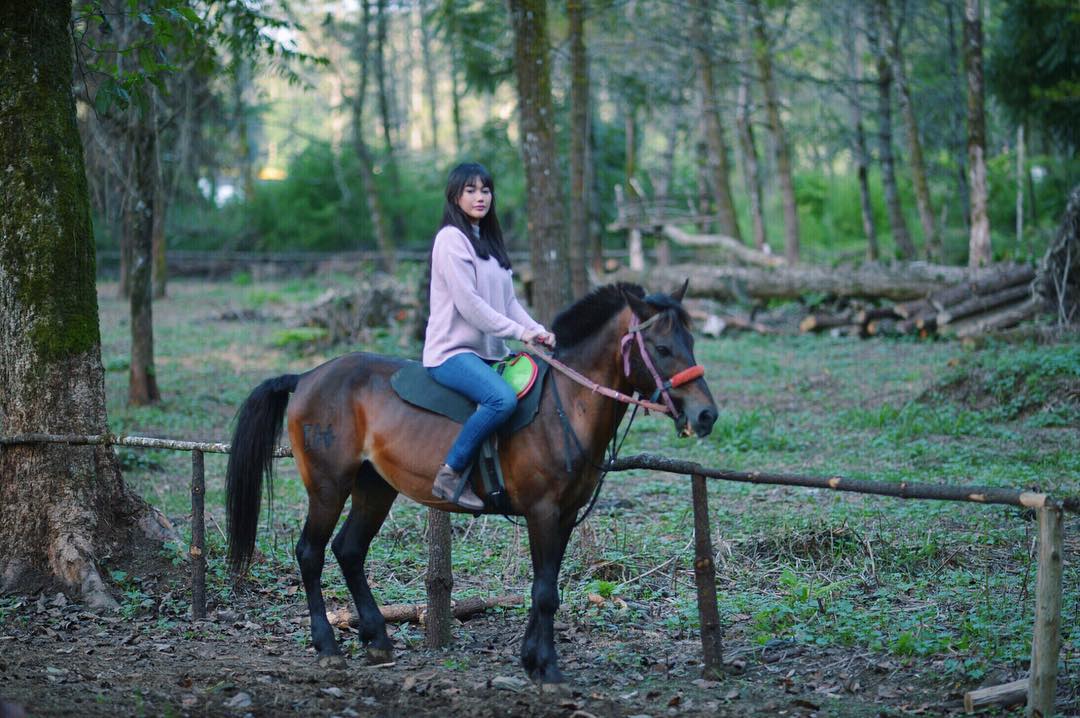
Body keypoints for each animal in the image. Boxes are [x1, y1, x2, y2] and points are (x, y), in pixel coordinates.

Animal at [225, 280, 717, 682]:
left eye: (691, 341)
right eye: (661, 347)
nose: (706, 415)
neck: (566, 406)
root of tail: (307, 376)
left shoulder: (564, 515)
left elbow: (546, 586)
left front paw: (533, 659)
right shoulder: (542, 512)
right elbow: (544, 592)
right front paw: (547, 669)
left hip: (374, 487)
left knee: (349, 550)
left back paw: (378, 640)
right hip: (329, 486)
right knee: (310, 553)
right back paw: (327, 646)